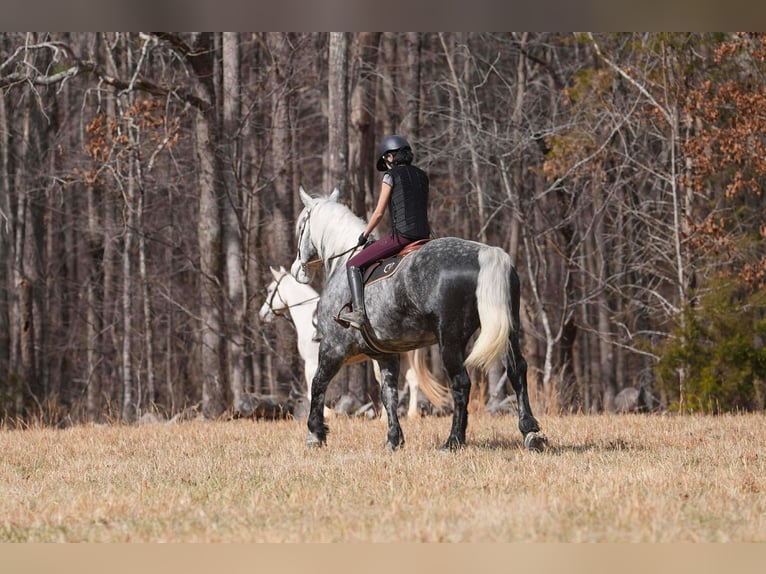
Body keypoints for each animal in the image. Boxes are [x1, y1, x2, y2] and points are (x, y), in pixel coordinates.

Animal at [258, 265, 450, 418]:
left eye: (270, 290)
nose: (262, 314)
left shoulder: (311, 363)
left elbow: (312, 392)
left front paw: (329, 414)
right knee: (413, 380)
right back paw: (411, 414)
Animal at [290, 187, 547, 452]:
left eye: (300, 227)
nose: (297, 270)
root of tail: (485, 253)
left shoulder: (333, 346)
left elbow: (318, 384)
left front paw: (315, 433)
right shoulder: (385, 354)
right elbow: (389, 395)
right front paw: (393, 439)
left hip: (450, 340)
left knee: (461, 383)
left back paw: (453, 440)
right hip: (508, 331)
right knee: (517, 371)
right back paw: (530, 432)